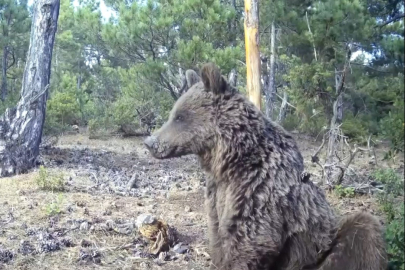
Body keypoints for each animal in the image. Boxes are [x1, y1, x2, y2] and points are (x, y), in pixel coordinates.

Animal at [144, 62, 386, 268]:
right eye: (174, 114)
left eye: (180, 117)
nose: (150, 142)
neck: (230, 160)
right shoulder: (218, 191)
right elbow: (218, 235)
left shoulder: (257, 187)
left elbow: (249, 239)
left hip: (322, 245)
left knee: (363, 230)